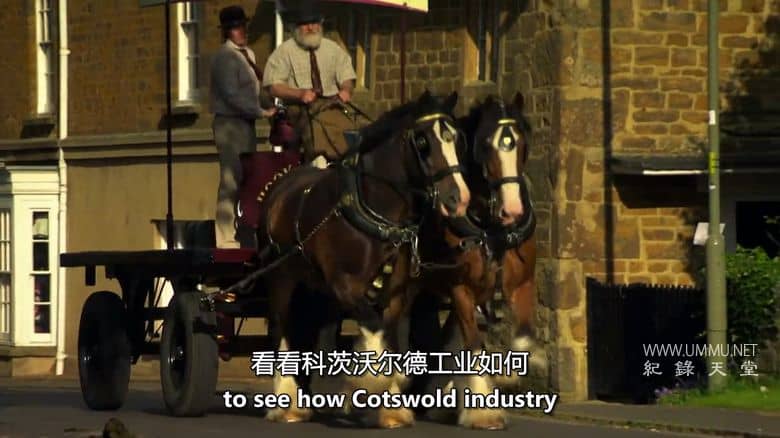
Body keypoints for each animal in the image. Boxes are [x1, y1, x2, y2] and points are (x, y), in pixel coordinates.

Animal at [255, 90, 471, 428]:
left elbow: (390, 337)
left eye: (458, 139)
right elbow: (372, 326)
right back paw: (285, 404)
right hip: (279, 277)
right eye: (423, 142)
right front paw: (373, 385)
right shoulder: (345, 286)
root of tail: (279, 188)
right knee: (280, 329)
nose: (458, 198)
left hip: (310, 285)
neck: (374, 210)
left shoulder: (394, 293)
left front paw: (393, 408)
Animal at [410, 92, 544, 430]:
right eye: (484, 144)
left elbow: (523, 337)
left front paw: (508, 376)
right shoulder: (460, 289)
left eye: (522, 143)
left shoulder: (522, 284)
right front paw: (483, 410)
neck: (489, 227)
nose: (513, 210)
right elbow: (471, 345)